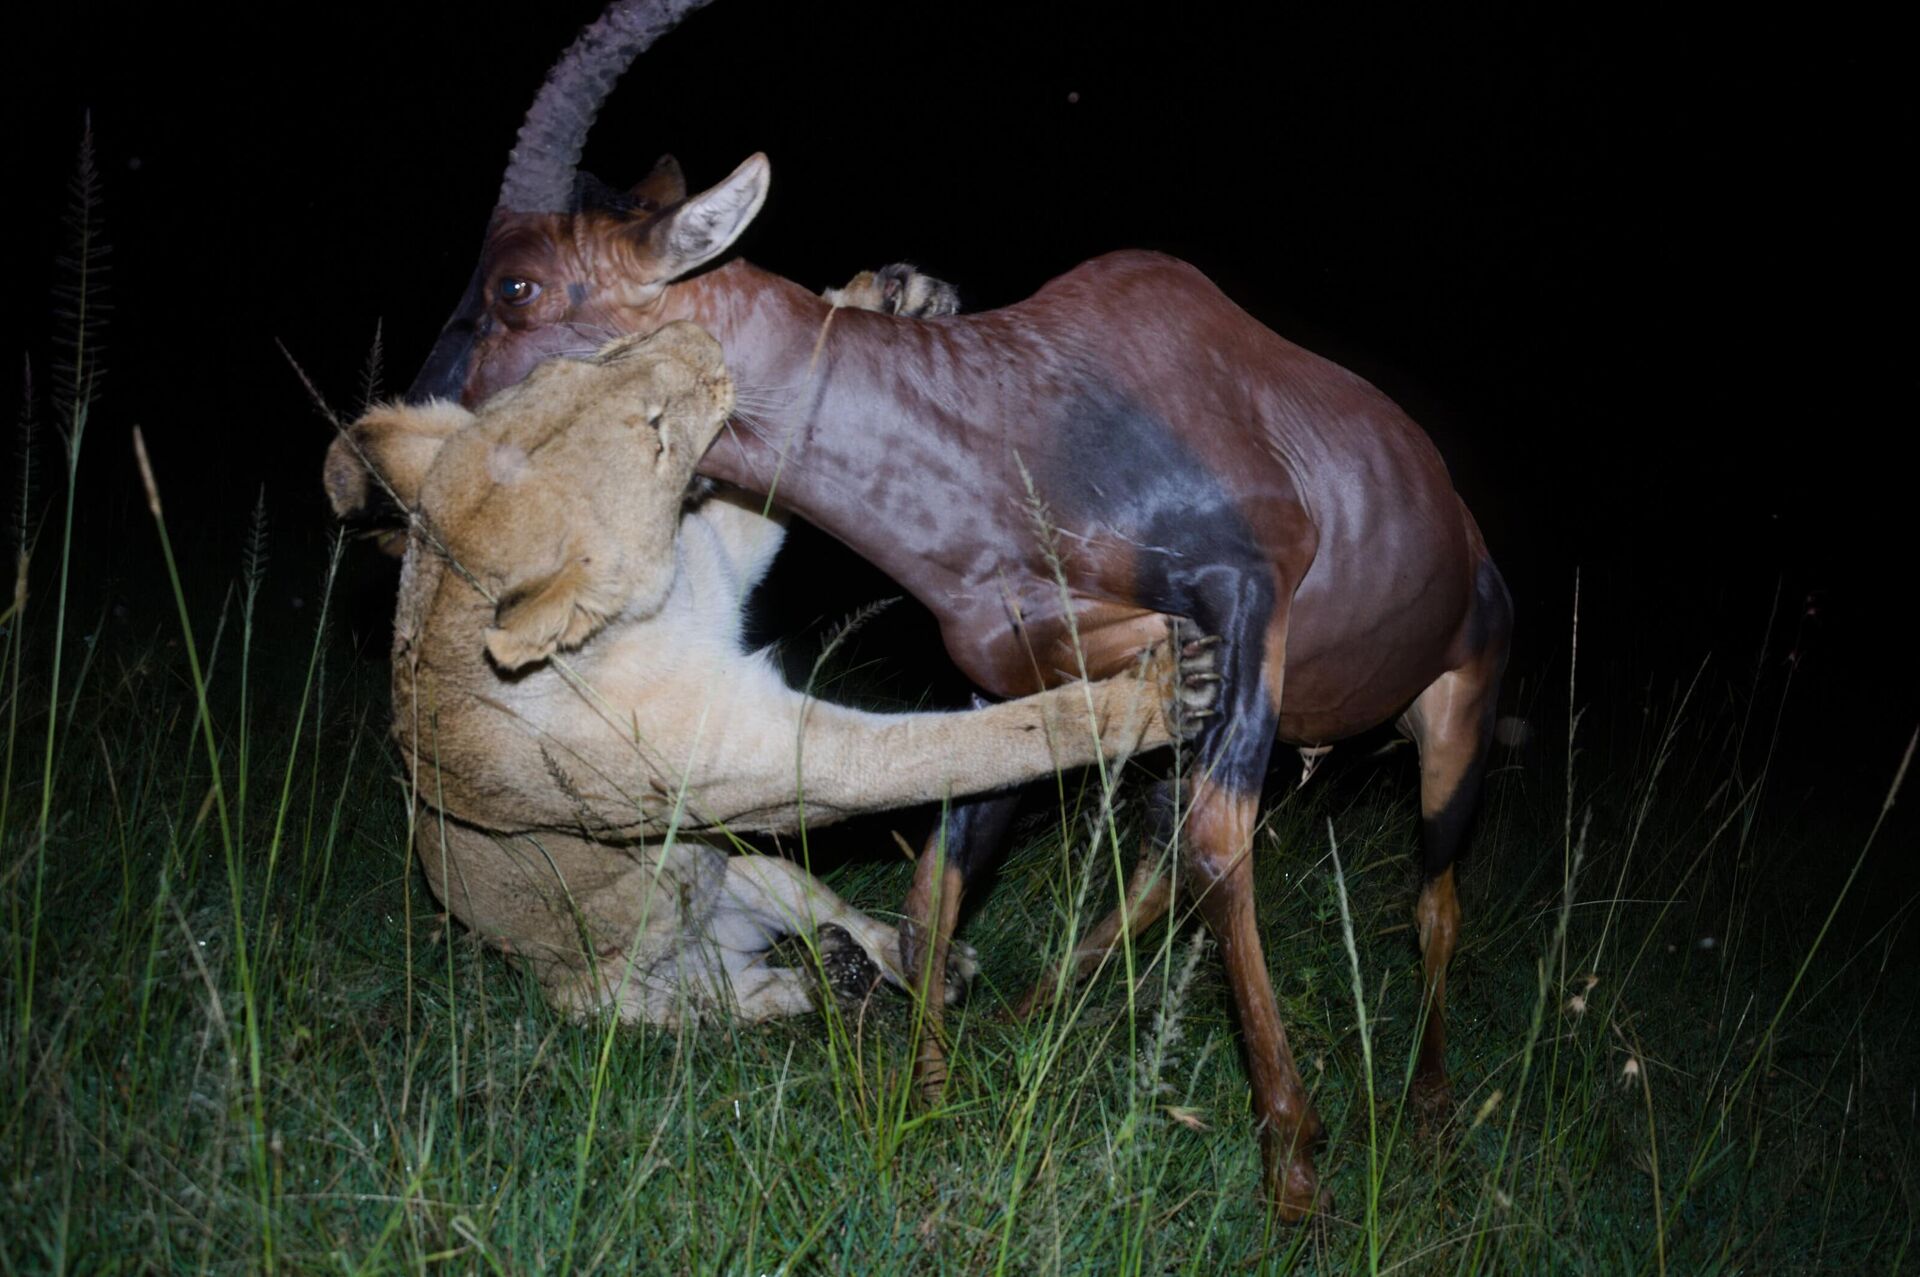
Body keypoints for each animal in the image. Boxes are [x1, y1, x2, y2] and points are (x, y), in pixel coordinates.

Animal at [389, 0, 1512, 1213]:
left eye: (516, 285)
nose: (406, 461)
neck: (1021, 399)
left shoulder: (1250, 591)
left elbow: (1221, 847)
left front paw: (1297, 1171)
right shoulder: (1012, 675)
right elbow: (939, 879)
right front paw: (923, 1099)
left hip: (1456, 711)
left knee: (1429, 898)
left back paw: (1433, 1113)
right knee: (1162, 857)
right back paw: (1031, 1012)